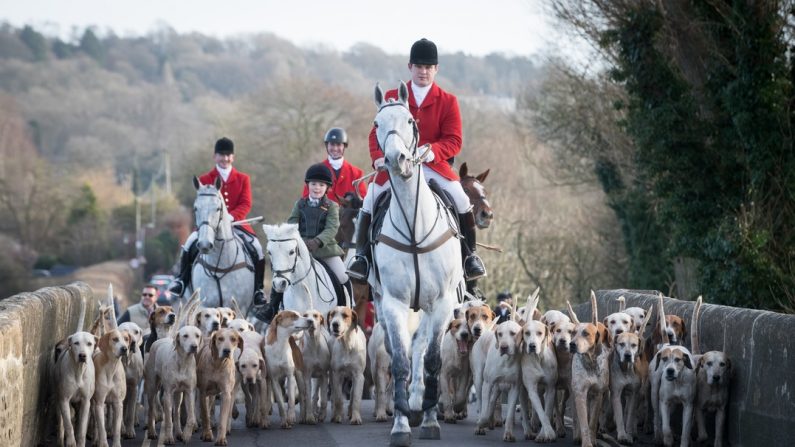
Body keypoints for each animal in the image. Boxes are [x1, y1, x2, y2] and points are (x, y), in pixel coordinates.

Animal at [188, 177, 253, 316]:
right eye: (195, 208)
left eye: (218, 208)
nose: (205, 244)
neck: (220, 266)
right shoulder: (205, 305)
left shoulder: (240, 307)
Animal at [370, 82, 464, 446]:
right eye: (377, 125)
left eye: (411, 121)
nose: (396, 160)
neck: (413, 227)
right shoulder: (395, 303)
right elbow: (399, 361)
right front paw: (400, 425)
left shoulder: (442, 303)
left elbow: (433, 359)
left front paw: (430, 420)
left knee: (422, 346)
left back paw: (418, 401)